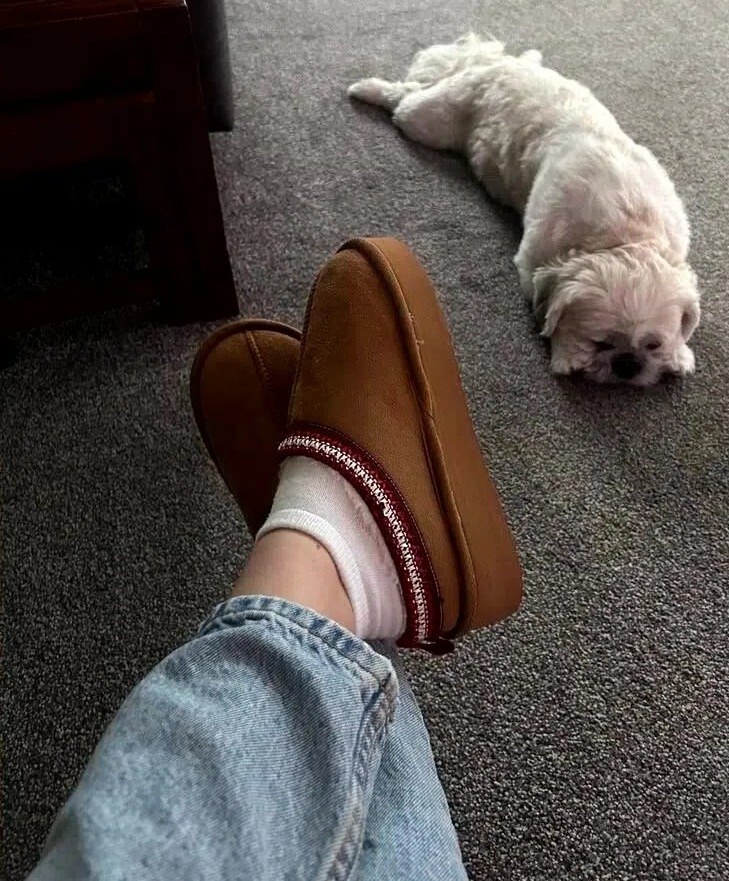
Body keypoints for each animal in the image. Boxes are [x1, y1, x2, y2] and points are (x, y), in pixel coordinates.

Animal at [350, 35, 704, 384]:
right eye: (599, 343)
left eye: (654, 345)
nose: (628, 364)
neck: (624, 231)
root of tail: (498, 63)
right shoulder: (532, 261)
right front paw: (566, 353)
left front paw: (679, 355)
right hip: (429, 120)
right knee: (402, 97)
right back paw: (366, 89)